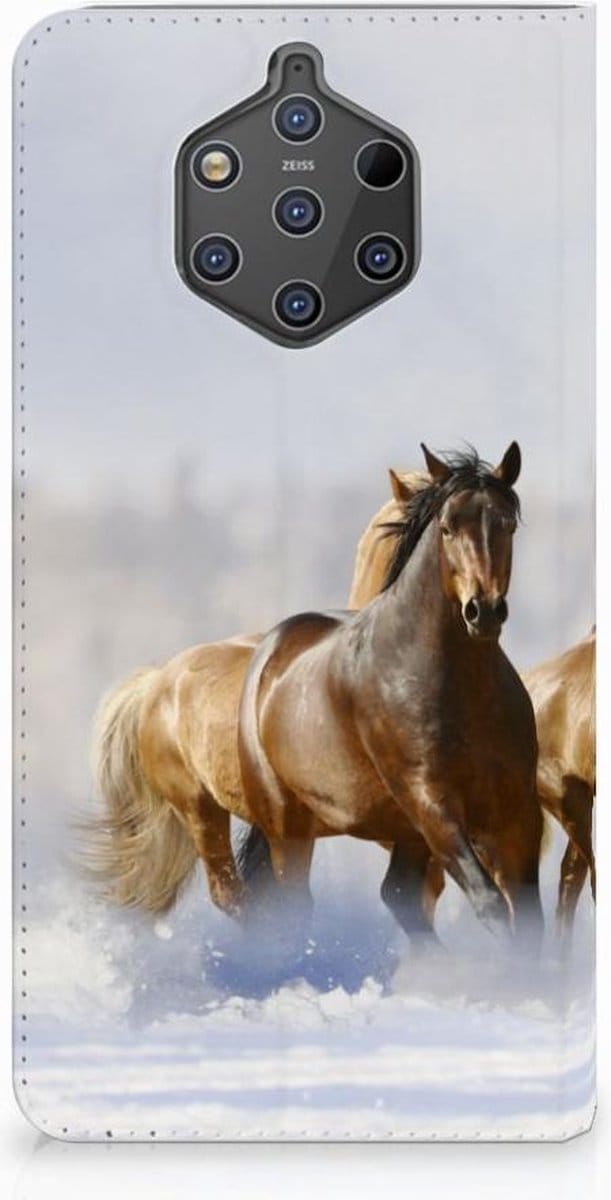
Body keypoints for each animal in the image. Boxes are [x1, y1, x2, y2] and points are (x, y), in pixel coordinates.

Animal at [237, 443, 544, 942]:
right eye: (447, 527)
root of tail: (270, 651)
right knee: (296, 906)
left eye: (507, 524)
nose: (483, 611)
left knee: (400, 895)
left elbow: (530, 919)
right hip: (289, 826)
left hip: (403, 833)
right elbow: (491, 903)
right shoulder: (432, 804)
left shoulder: (518, 811)